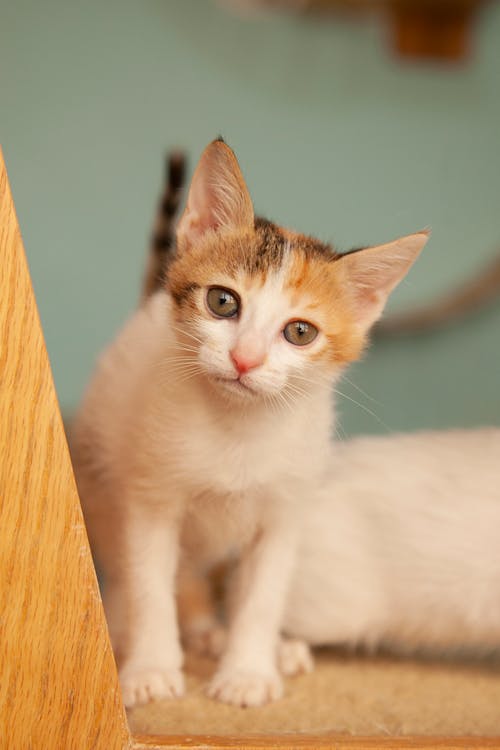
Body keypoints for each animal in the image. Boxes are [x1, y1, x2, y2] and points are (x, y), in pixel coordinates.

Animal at [70, 138, 430, 708]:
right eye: (223, 302)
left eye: (300, 332)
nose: (245, 359)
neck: (237, 428)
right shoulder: (150, 500)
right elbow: (150, 585)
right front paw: (151, 667)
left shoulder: (286, 510)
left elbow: (263, 594)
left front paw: (249, 670)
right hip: (101, 472)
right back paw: (172, 629)